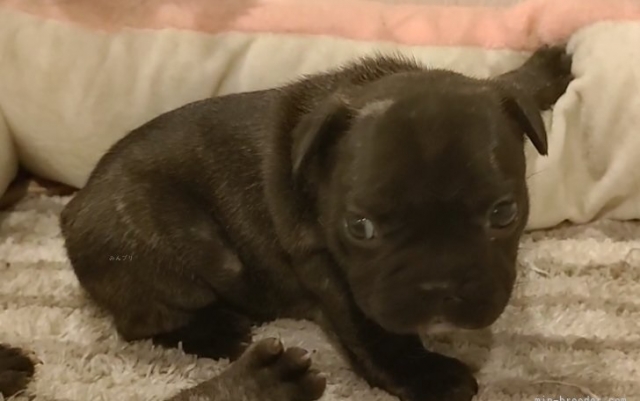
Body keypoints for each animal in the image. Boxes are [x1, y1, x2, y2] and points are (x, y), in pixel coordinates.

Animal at [0, 45, 571, 401]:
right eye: (360, 227)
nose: (437, 286)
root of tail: (72, 209)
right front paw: (423, 372)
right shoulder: (328, 267)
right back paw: (217, 331)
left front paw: (544, 69)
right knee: (140, 319)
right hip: (173, 243)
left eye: (504, 213)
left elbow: (507, 84)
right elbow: (370, 329)